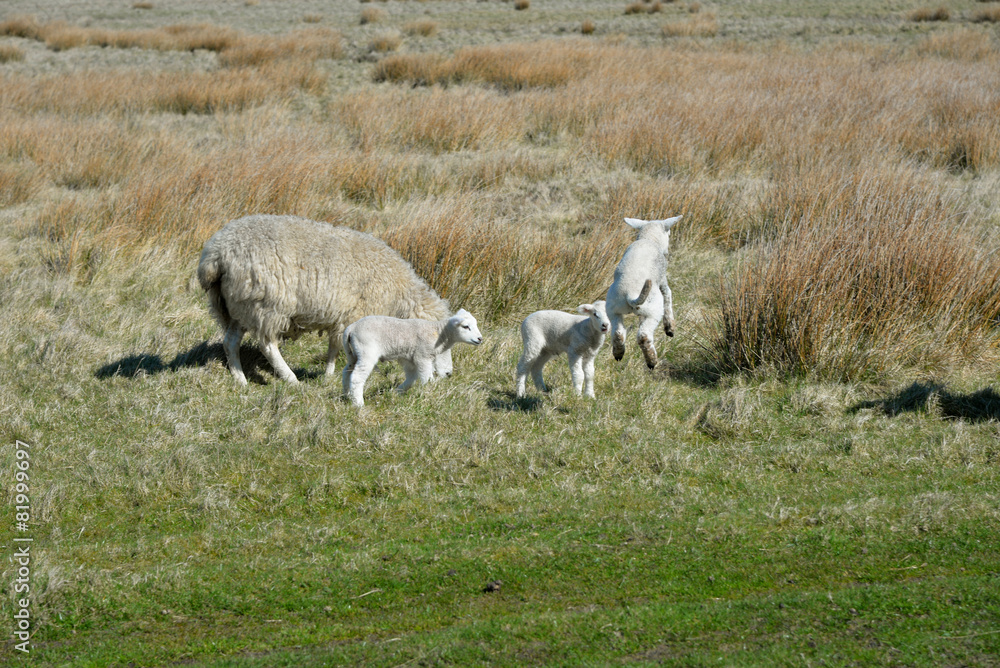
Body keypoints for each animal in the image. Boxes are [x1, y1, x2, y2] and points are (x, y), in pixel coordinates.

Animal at [196, 214, 450, 386]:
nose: (445, 378)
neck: (399, 293)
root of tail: (217, 253)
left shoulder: (343, 317)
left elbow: (334, 347)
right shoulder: (352, 316)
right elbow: (337, 349)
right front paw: (331, 375)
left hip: (237, 305)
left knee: (230, 342)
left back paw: (240, 379)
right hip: (267, 304)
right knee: (267, 345)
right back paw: (291, 379)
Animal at [341, 309, 483, 407]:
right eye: (466, 326)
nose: (480, 339)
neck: (439, 333)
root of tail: (351, 328)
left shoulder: (411, 359)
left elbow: (411, 378)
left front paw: (396, 392)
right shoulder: (423, 356)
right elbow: (426, 378)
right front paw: (428, 393)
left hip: (354, 353)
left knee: (347, 371)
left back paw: (347, 396)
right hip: (367, 351)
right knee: (356, 377)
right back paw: (359, 404)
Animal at [605, 215, 682, 369]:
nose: (668, 253)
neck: (649, 237)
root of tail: (630, 295)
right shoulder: (662, 279)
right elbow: (668, 294)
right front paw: (670, 328)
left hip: (613, 308)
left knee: (618, 333)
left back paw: (618, 354)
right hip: (653, 308)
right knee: (643, 335)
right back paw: (652, 361)